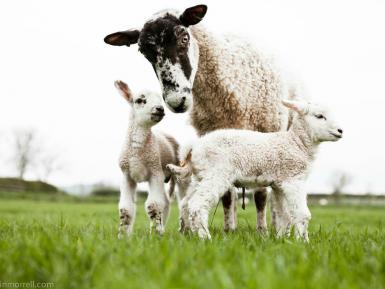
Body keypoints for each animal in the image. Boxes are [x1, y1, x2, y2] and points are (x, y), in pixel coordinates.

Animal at [113, 80, 179, 236]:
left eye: (160, 100)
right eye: (139, 100)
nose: (160, 108)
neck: (137, 154)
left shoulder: (155, 171)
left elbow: (153, 205)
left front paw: (155, 234)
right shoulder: (127, 175)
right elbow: (125, 208)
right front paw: (123, 235)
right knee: (166, 201)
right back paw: (162, 227)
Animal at [174, 100, 342, 240]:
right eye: (319, 116)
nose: (340, 130)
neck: (296, 143)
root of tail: (194, 147)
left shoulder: (280, 184)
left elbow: (284, 215)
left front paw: (281, 239)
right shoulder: (293, 179)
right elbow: (302, 214)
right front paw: (303, 242)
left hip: (200, 176)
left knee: (185, 204)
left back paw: (187, 233)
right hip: (216, 173)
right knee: (197, 204)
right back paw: (205, 237)